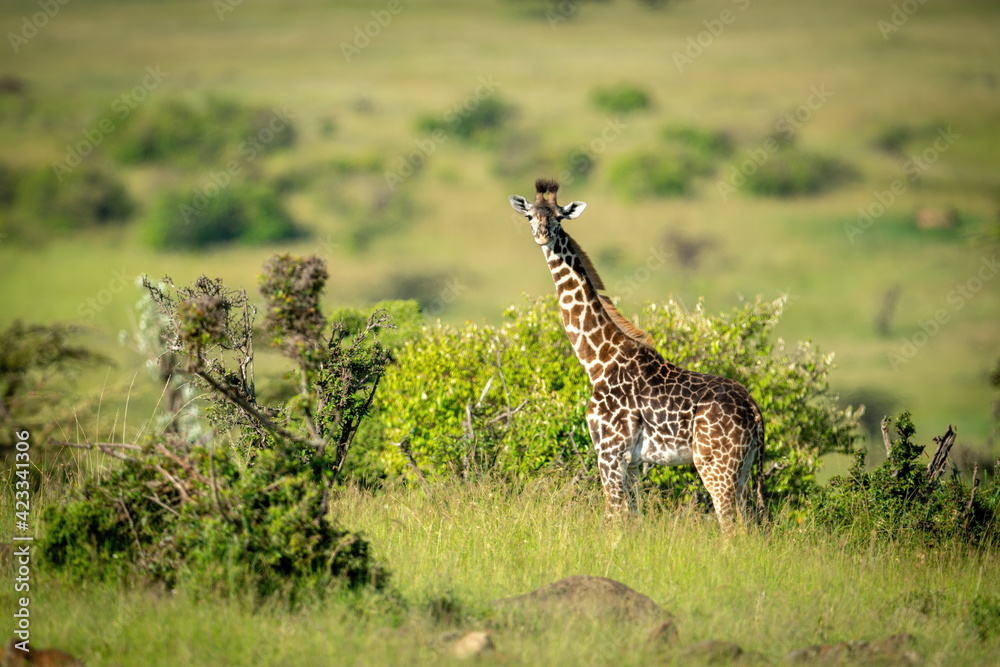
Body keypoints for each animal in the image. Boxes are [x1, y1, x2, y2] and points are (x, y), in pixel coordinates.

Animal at [509, 178, 766, 533]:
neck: (598, 360)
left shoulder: (609, 451)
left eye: (559, 218)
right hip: (743, 469)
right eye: (530, 216)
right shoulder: (630, 462)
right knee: (748, 526)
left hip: (716, 465)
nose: (543, 235)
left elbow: (611, 518)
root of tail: (753, 409)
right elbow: (631, 520)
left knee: (729, 527)